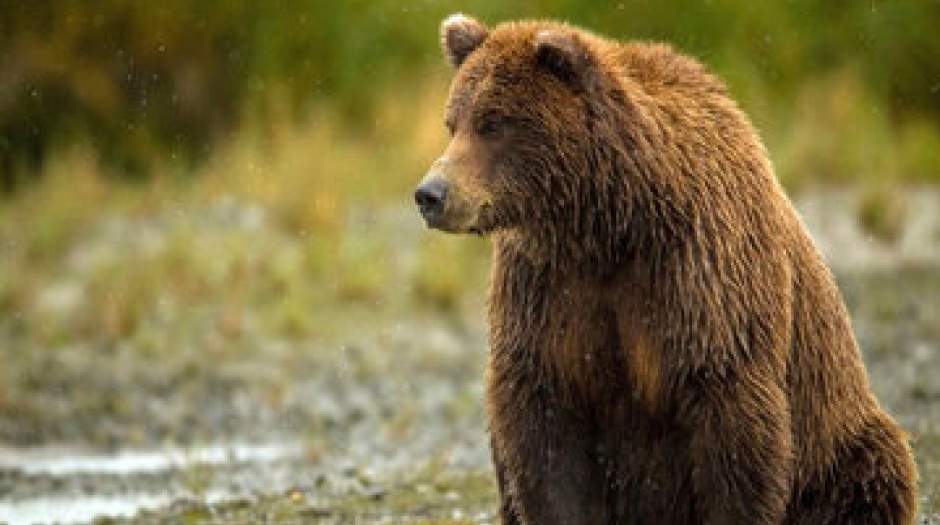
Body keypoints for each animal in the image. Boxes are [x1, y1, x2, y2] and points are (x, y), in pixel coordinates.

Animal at [414, 13, 916, 524]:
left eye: (493, 123)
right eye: (452, 122)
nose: (431, 194)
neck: (610, 225)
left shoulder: (700, 278)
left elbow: (734, 428)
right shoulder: (547, 288)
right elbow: (545, 430)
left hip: (839, 441)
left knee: (870, 470)